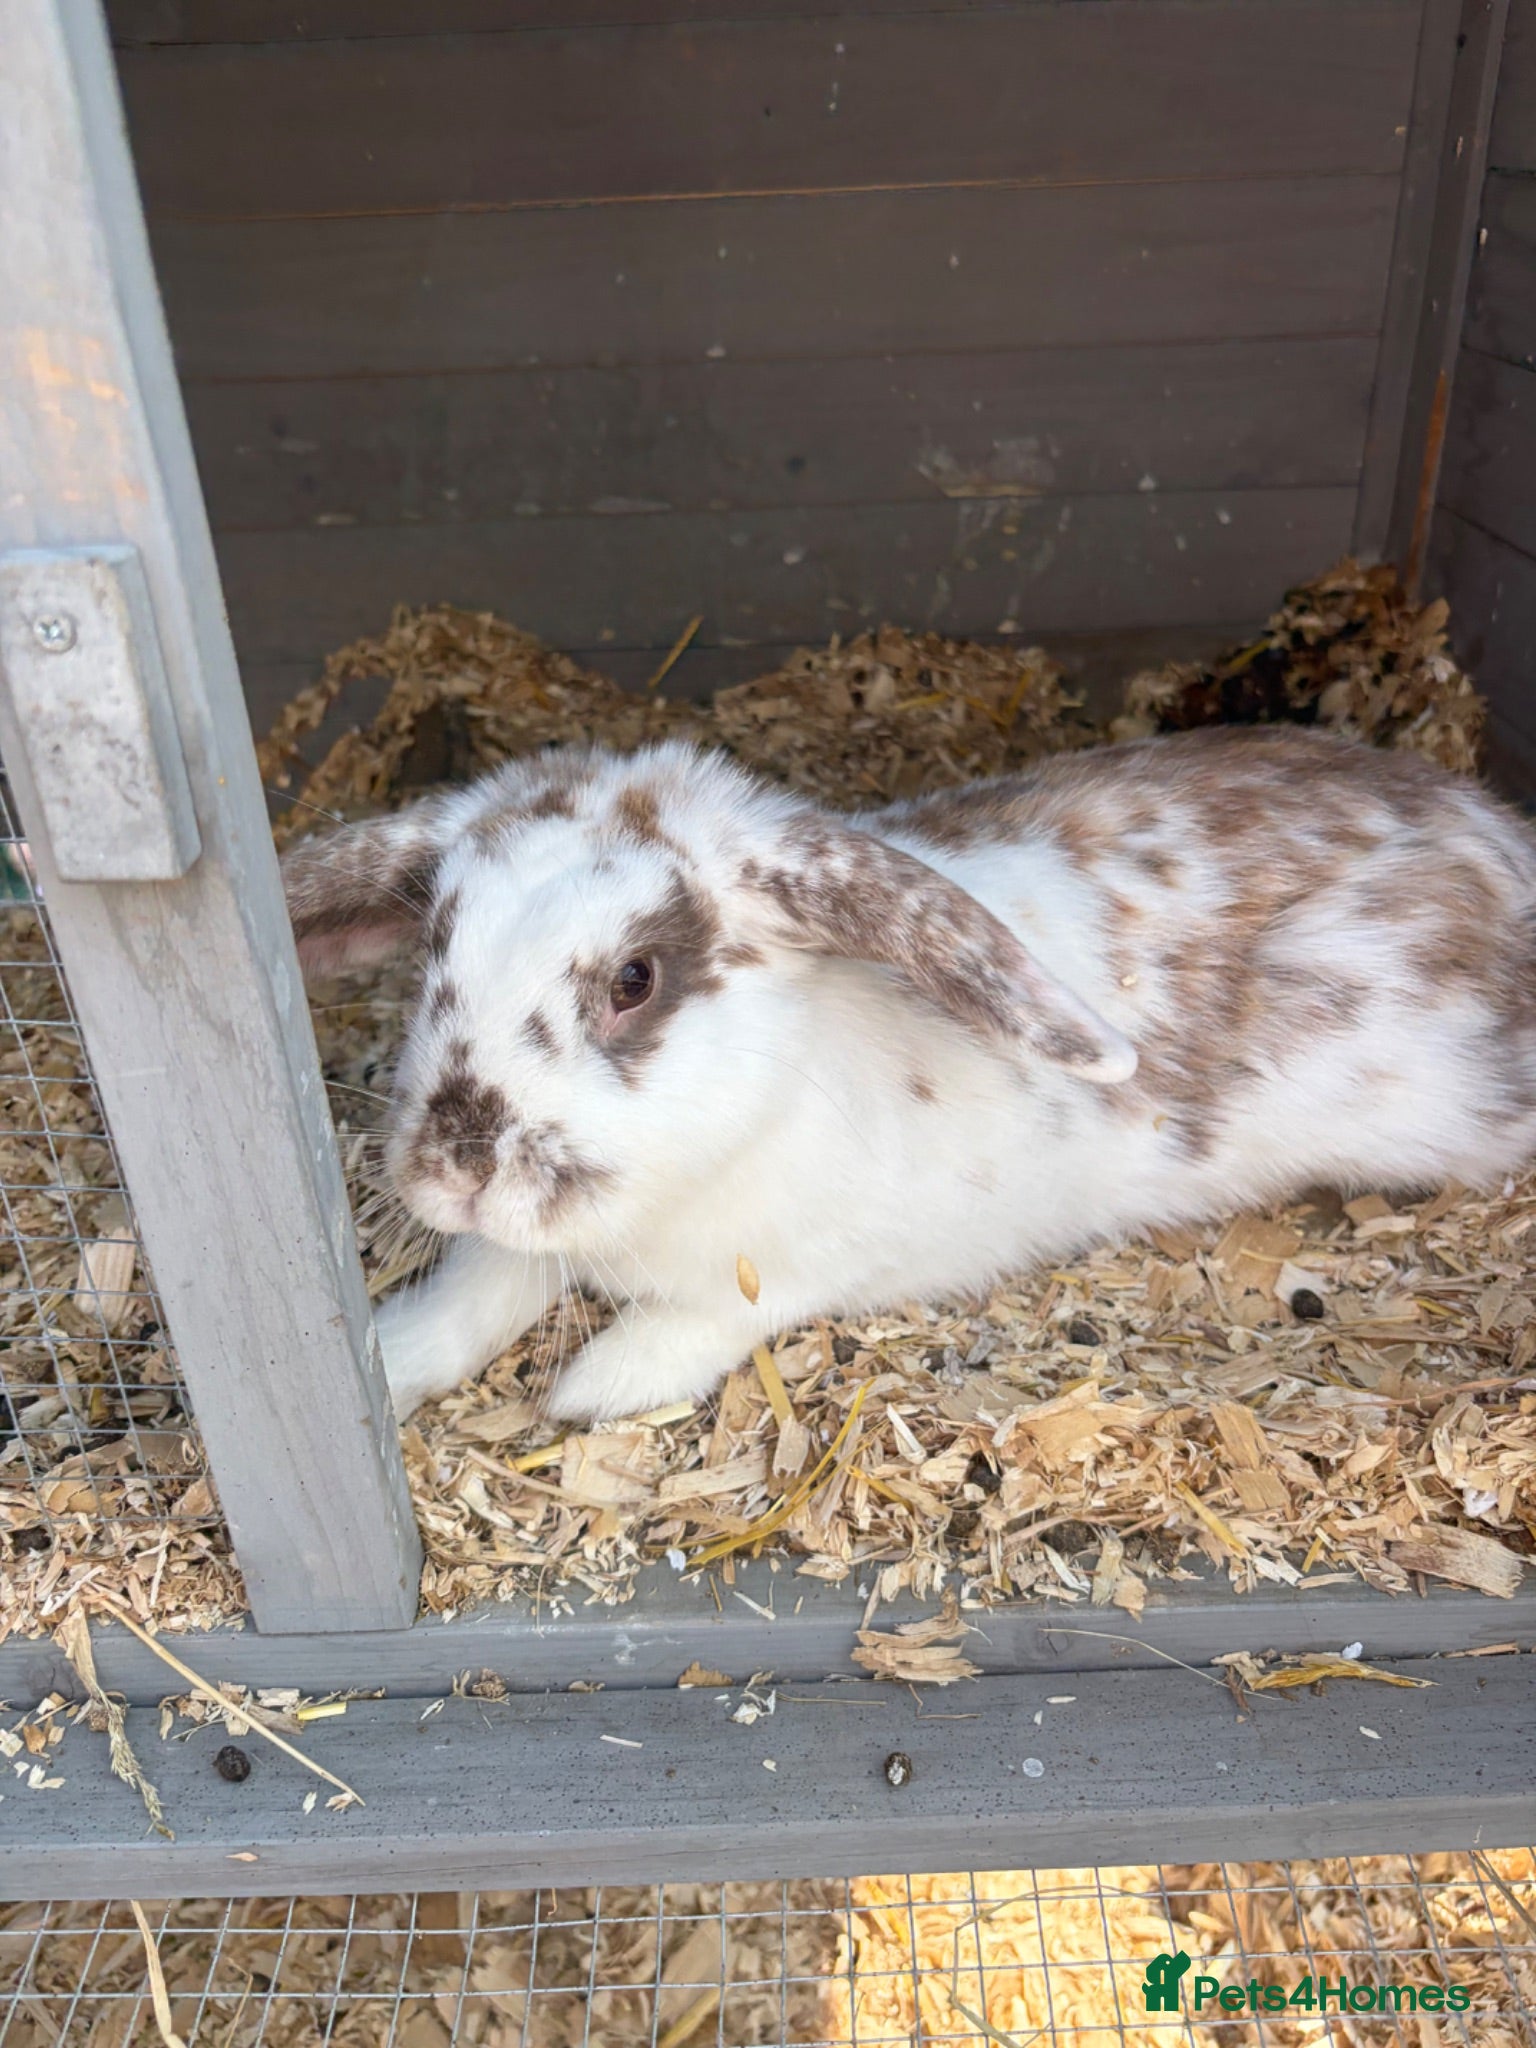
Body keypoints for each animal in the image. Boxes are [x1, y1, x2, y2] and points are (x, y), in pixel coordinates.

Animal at [281, 725, 1536, 1424]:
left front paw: (597, 1386)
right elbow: (476, 1288)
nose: (451, 1168)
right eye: (437, 940)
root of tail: (1498, 834)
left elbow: (710, 1314)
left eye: (634, 977)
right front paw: (392, 1360)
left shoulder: (810, 1263)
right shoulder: (528, 1246)